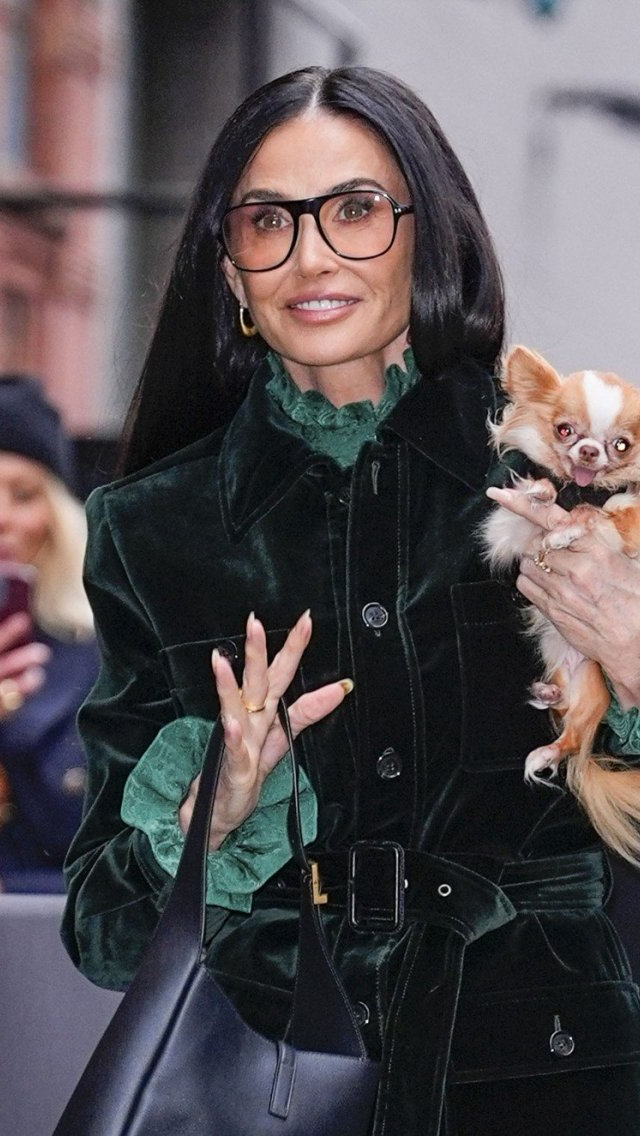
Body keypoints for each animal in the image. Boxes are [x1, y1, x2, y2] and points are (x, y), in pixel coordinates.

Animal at [481, 344, 640, 864]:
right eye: (565, 430)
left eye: (622, 445)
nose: (589, 451)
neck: (583, 486)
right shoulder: (509, 530)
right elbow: (541, 502)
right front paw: (541, 493)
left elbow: (607, 514)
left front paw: (574, 527)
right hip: (575, 678)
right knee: (566, 718)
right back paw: (547, 701)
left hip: (595, 692)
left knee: (572, 740)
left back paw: (547, 751)